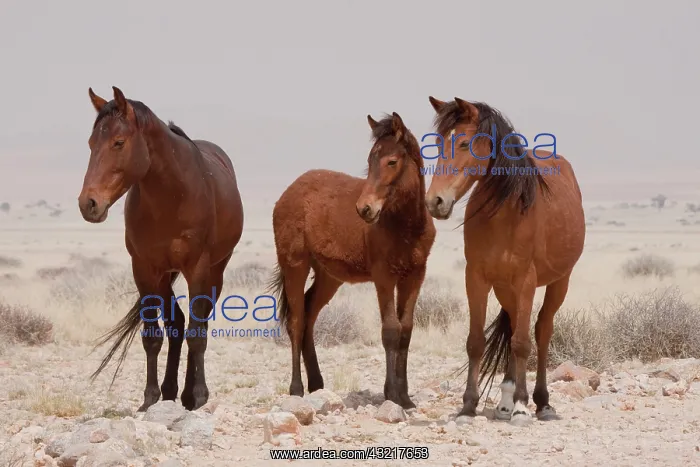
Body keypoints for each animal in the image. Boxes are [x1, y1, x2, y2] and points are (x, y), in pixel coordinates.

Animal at [78, 86, 244, 412]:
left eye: (119, 142)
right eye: (91, 143)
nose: (88, 204)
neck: (171, 196)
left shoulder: (198, 267)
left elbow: (197, 333)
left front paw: (199, 396)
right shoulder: (144, 269)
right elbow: (153, 335)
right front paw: (150, 398)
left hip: (216, 271)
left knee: (197, 323)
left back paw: (190, 393)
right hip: (165, 275)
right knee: (176, 323)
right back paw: (170, 391)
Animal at [269, 112, 436, 409]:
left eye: (392, 161)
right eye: (370, 161)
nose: (364, 209)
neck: (405, 226)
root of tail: (288, 193)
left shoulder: (415, 275)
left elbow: (405, 331)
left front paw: (405, 398)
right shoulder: (384, 277)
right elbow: (390, 330)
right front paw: (392, 395)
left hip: (329, 277)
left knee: (309, 316)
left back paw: (317, 384)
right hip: (295, 266)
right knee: (296, 321)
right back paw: (297, 388)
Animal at [424, 97, 585, 425]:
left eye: (464, 143)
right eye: (436, 143)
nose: (435, 202)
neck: (504, 215)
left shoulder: (526, 280)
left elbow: (523, 343)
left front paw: (523, 406)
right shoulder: (476, 278)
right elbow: (475, 342)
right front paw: (468, 406)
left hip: (558, 282)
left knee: (541, 331)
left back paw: (540, 403)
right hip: (504, 288)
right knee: (511, 328)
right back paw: (505, 402)